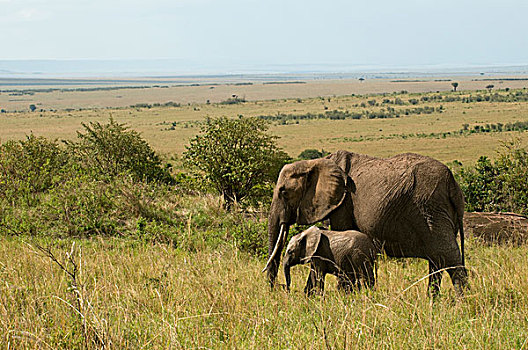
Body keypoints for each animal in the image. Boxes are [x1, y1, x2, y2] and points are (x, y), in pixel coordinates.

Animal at [262, 150, 466, 296]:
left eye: (283, 192)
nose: (279, 289)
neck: (316, 162)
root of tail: (452, 183)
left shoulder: (344, 201)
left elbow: (342, 231)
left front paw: (344, 294)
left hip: (430, 207)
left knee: (448, 256)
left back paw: (462, 304)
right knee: (437, 260)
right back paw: (433, 301)